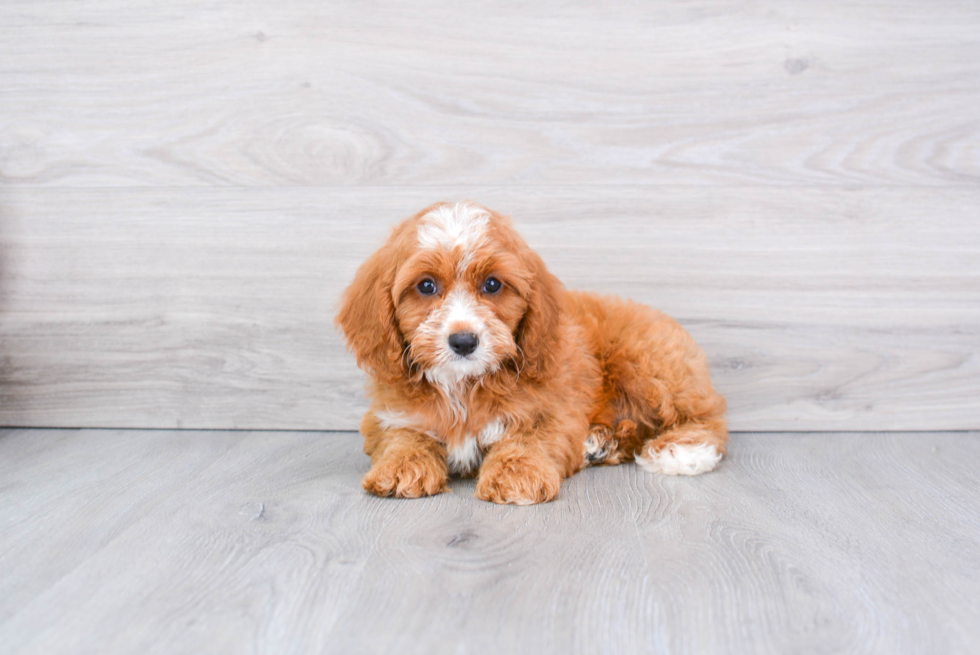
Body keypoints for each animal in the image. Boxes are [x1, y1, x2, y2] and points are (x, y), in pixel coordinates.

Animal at [336, 202, 728, 504]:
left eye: (492, 284)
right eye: (426, 286)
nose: (463, 341)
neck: (464, 385)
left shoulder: (550, 409)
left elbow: (530, 437)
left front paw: (516, 474)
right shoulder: (388, 413)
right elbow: (401, 434)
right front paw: (400, 467)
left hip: (648, 362)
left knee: (706, 415)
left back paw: (682, 450)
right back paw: (599, 444)